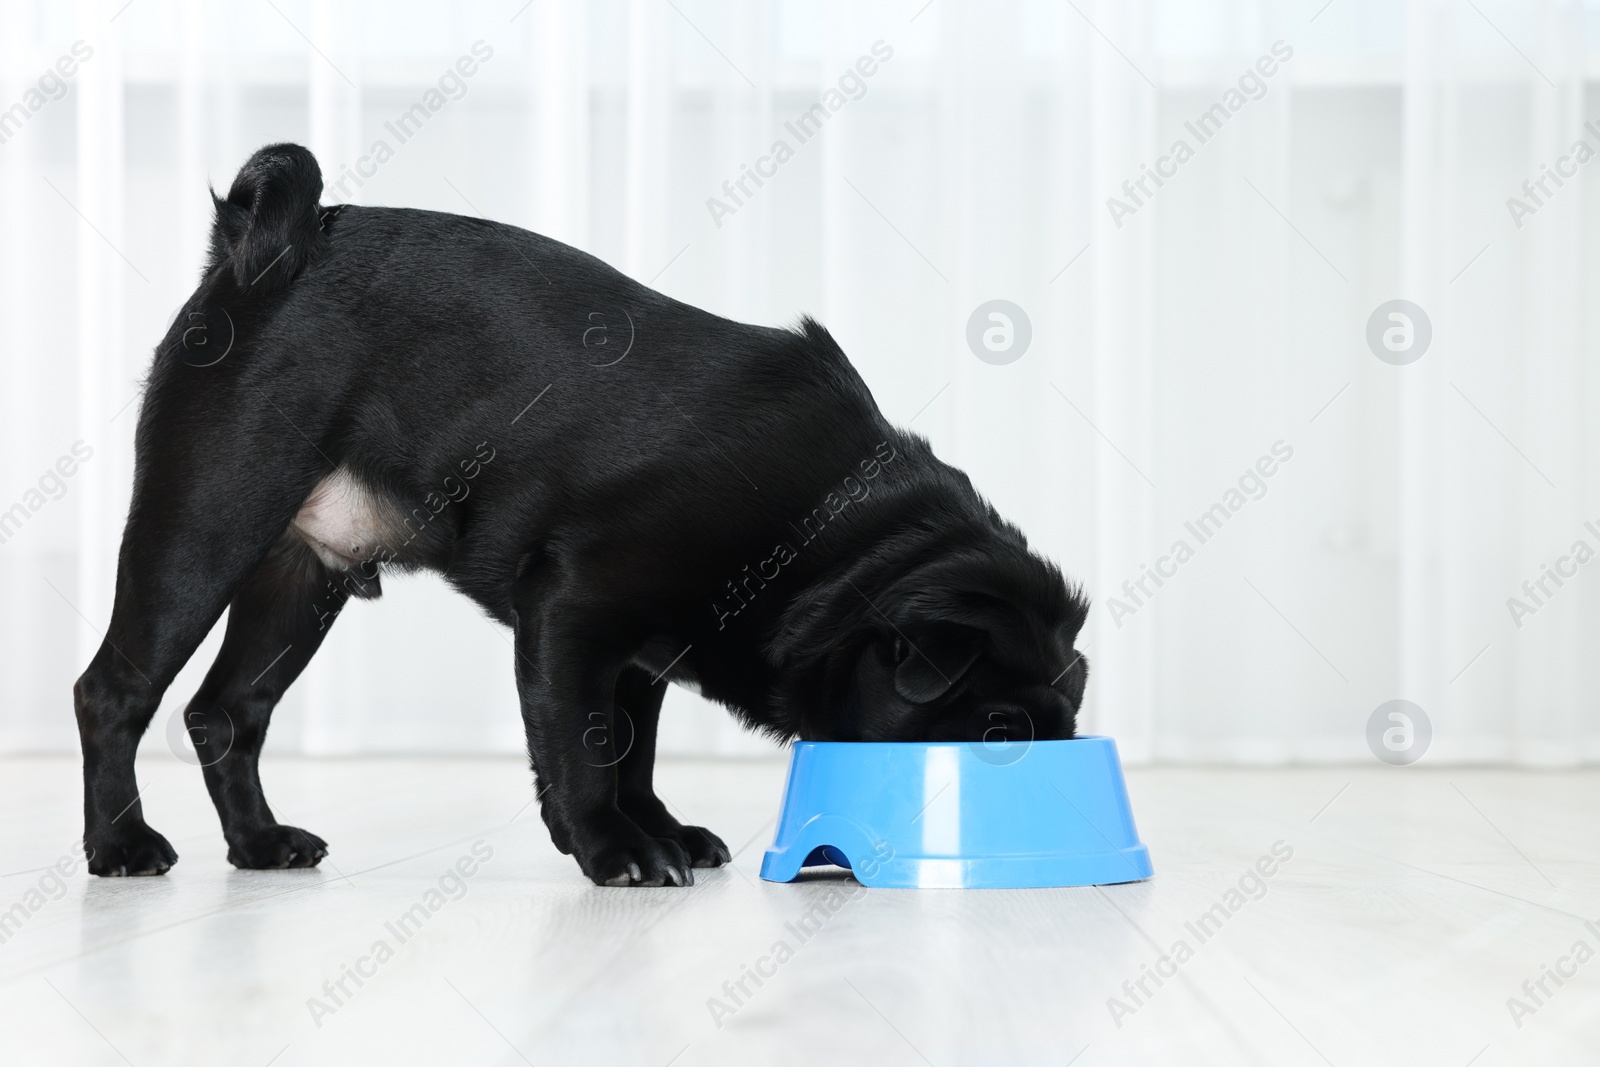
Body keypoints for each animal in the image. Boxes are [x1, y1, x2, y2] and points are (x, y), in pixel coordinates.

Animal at [81, 146, 1094, 889]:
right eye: (993, 730)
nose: (1042, 764)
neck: (842, 546)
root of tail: (257, 256)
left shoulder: (636, 651)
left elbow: (629, 746)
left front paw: (657, 827)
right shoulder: (570, 609)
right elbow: (580, 745)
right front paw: (615, 847)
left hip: (300, 578)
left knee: (226, 712)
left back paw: (259, 845)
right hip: (205, 529)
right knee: (114, 693)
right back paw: (121, 848)